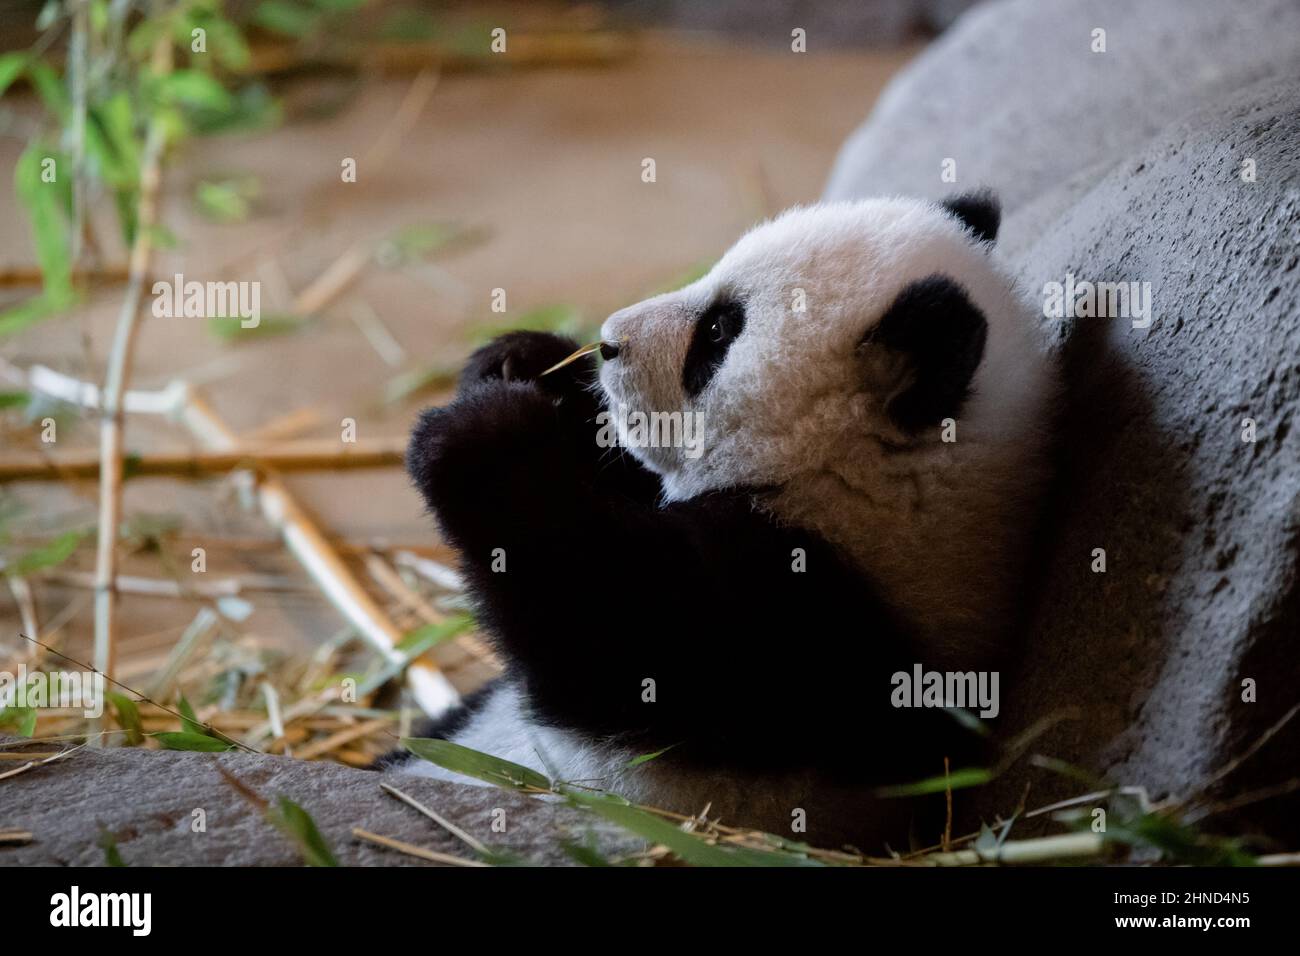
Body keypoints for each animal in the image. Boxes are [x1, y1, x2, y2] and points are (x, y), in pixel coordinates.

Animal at [389, 192, 1058, 849]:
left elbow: (614, 624)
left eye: (716, 332)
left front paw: (481, 442)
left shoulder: (813, 621)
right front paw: (523, 361)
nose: (607, 341)